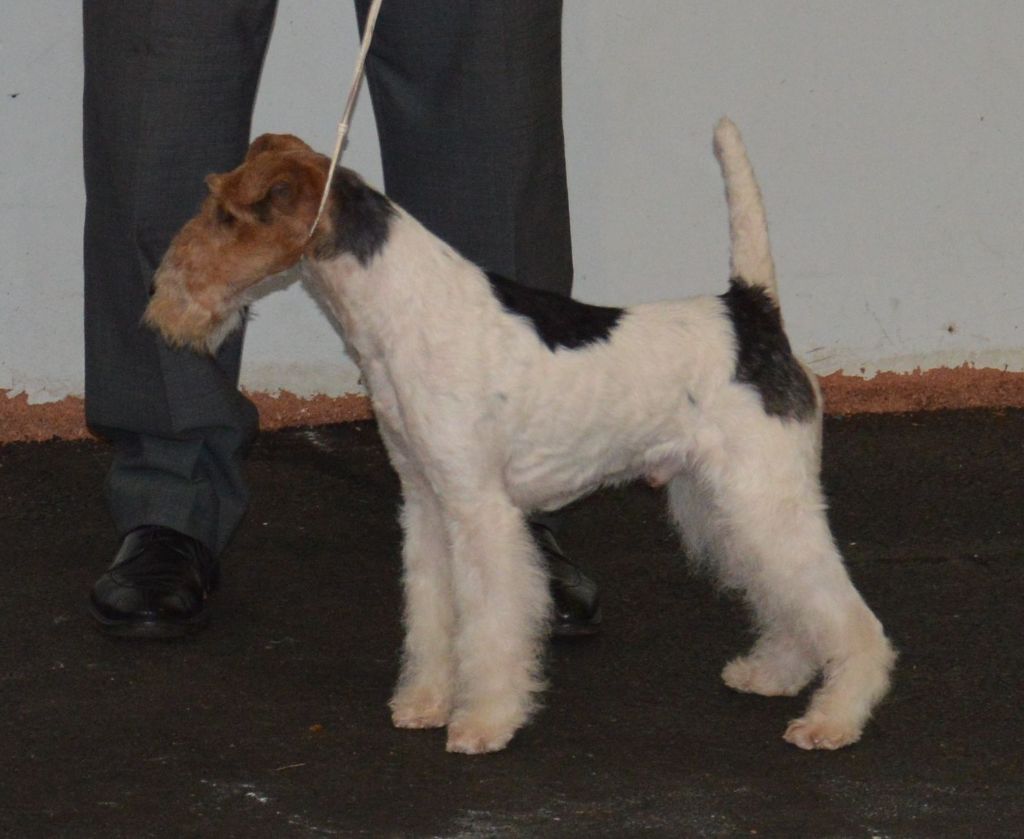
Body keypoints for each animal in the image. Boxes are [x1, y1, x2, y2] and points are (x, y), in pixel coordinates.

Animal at [146, 118, 897, 753]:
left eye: (227, 215)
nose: (162, 297)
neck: (400, 308)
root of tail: (751, 313)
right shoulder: (425, 500)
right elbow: (432, 613)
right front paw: (424, 701)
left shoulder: (479, 508)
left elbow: (489, 623)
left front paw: (482, 721)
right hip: (722, 502)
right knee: (788, 597)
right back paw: (773, 672)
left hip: (763, 492)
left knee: (848, 614)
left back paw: (833, 718)